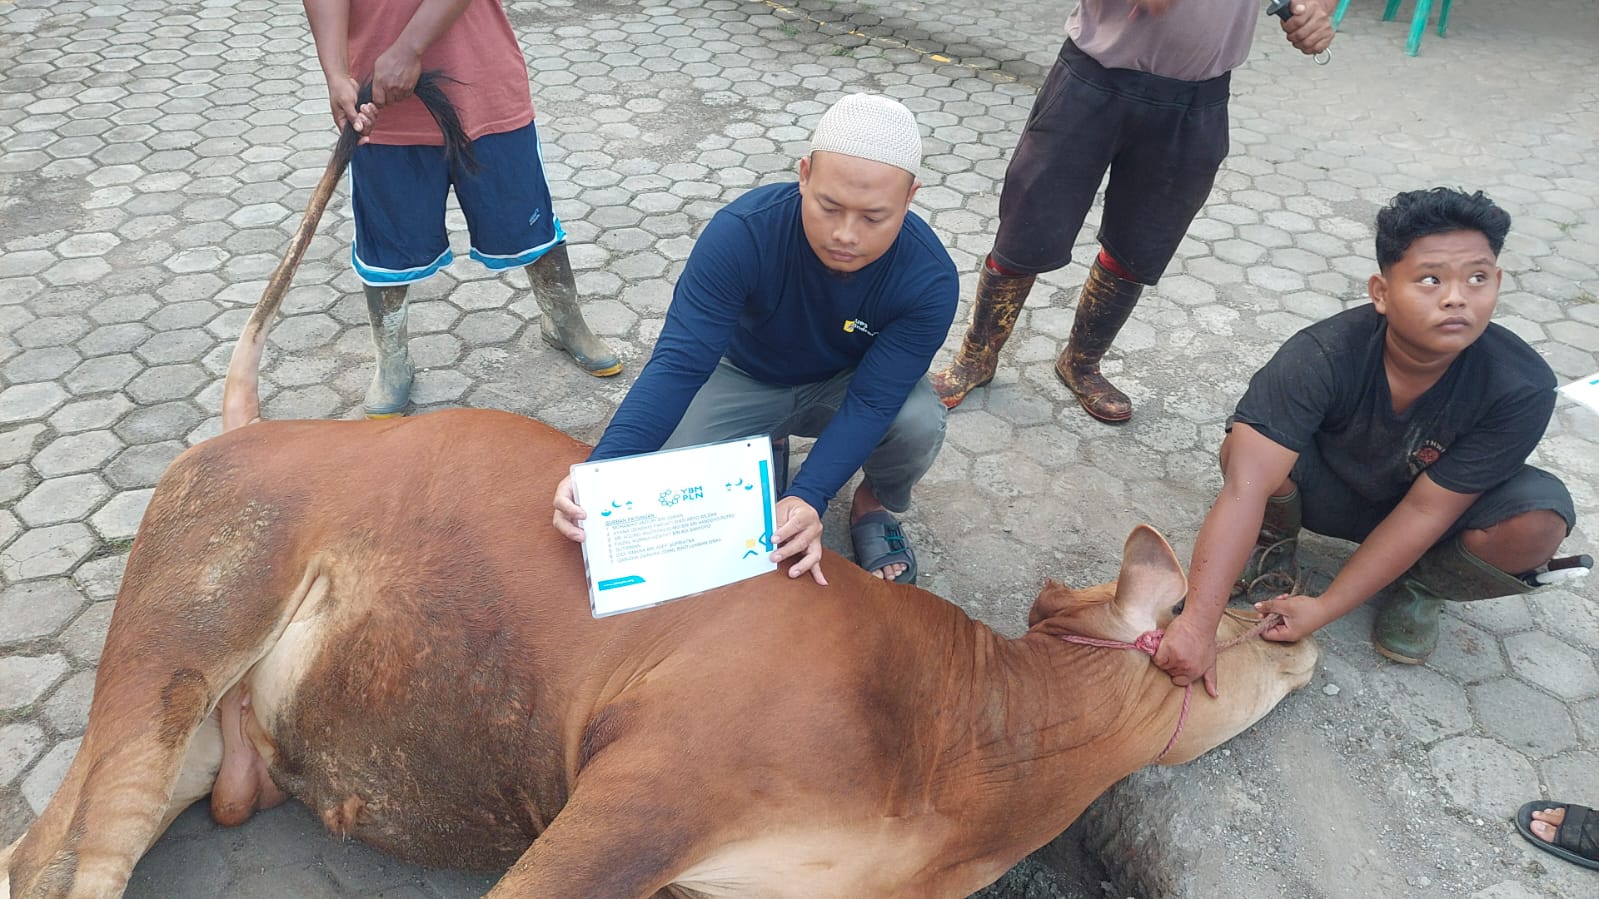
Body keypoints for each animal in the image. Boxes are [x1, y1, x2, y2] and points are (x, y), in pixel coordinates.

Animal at [3, 407, 1311, 895]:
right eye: (1240, 616)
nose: (1299, 611)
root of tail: (226, 438)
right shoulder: (645, 792)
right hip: (190, 623)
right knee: (70, 858)